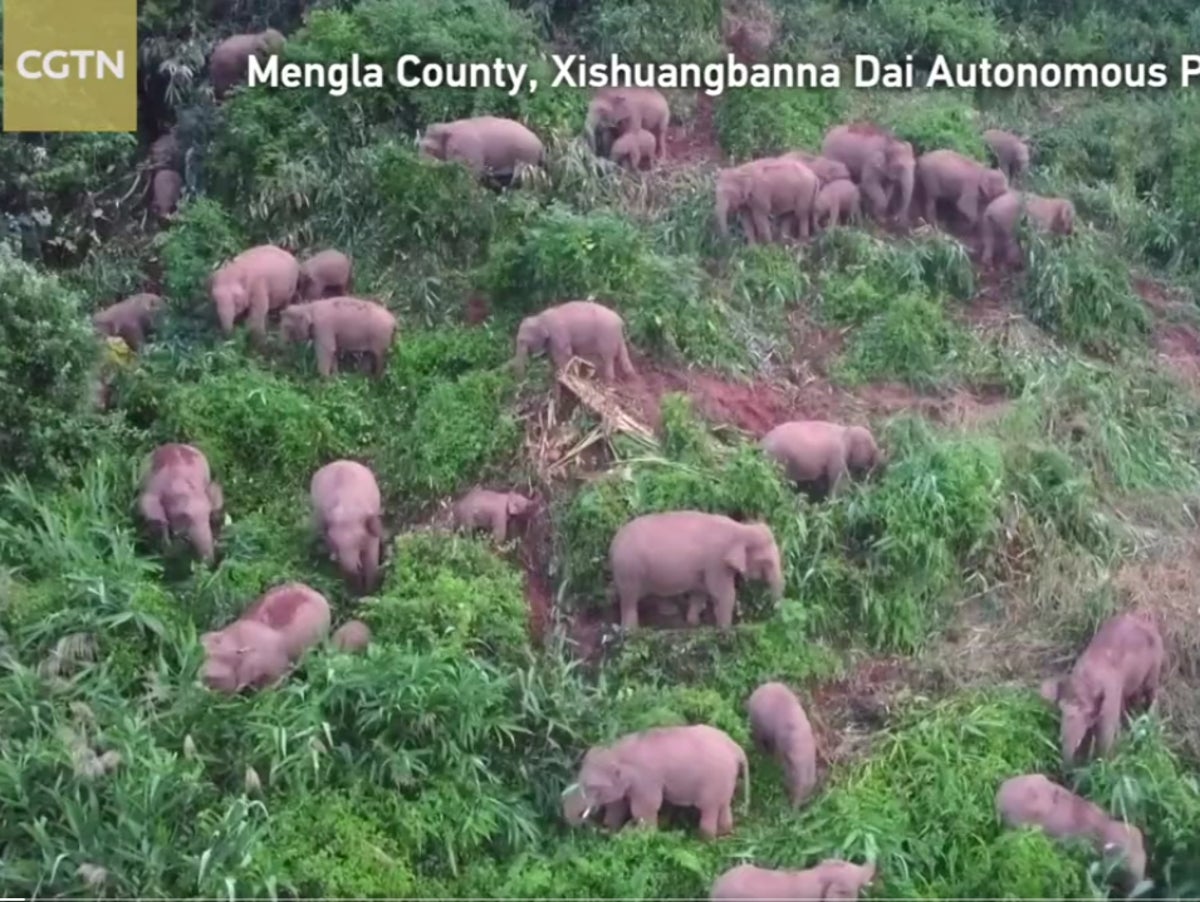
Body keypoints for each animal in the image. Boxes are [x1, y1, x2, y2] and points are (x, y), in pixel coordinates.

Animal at [559, 724, 744, 844]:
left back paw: (703, 841)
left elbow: (643, 809)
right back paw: (724, 834)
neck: (616, 751)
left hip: (714, 781)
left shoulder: (645, 780)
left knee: (709, 809)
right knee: (723, 806)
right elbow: (618, 806)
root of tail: (736, 748)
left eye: (592, 787)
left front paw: (643, 835)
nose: (594, 829)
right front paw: (612, 829)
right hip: (725, 780)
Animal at [1041, 609, 1161, 762]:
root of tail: (1144, 616)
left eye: (1087, 713)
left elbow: (1105, 738)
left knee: (1151, 689)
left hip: (1156, 661)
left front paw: (1103, 762)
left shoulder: (1110, 698)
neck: (1085, 681)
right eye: (1061, 709)